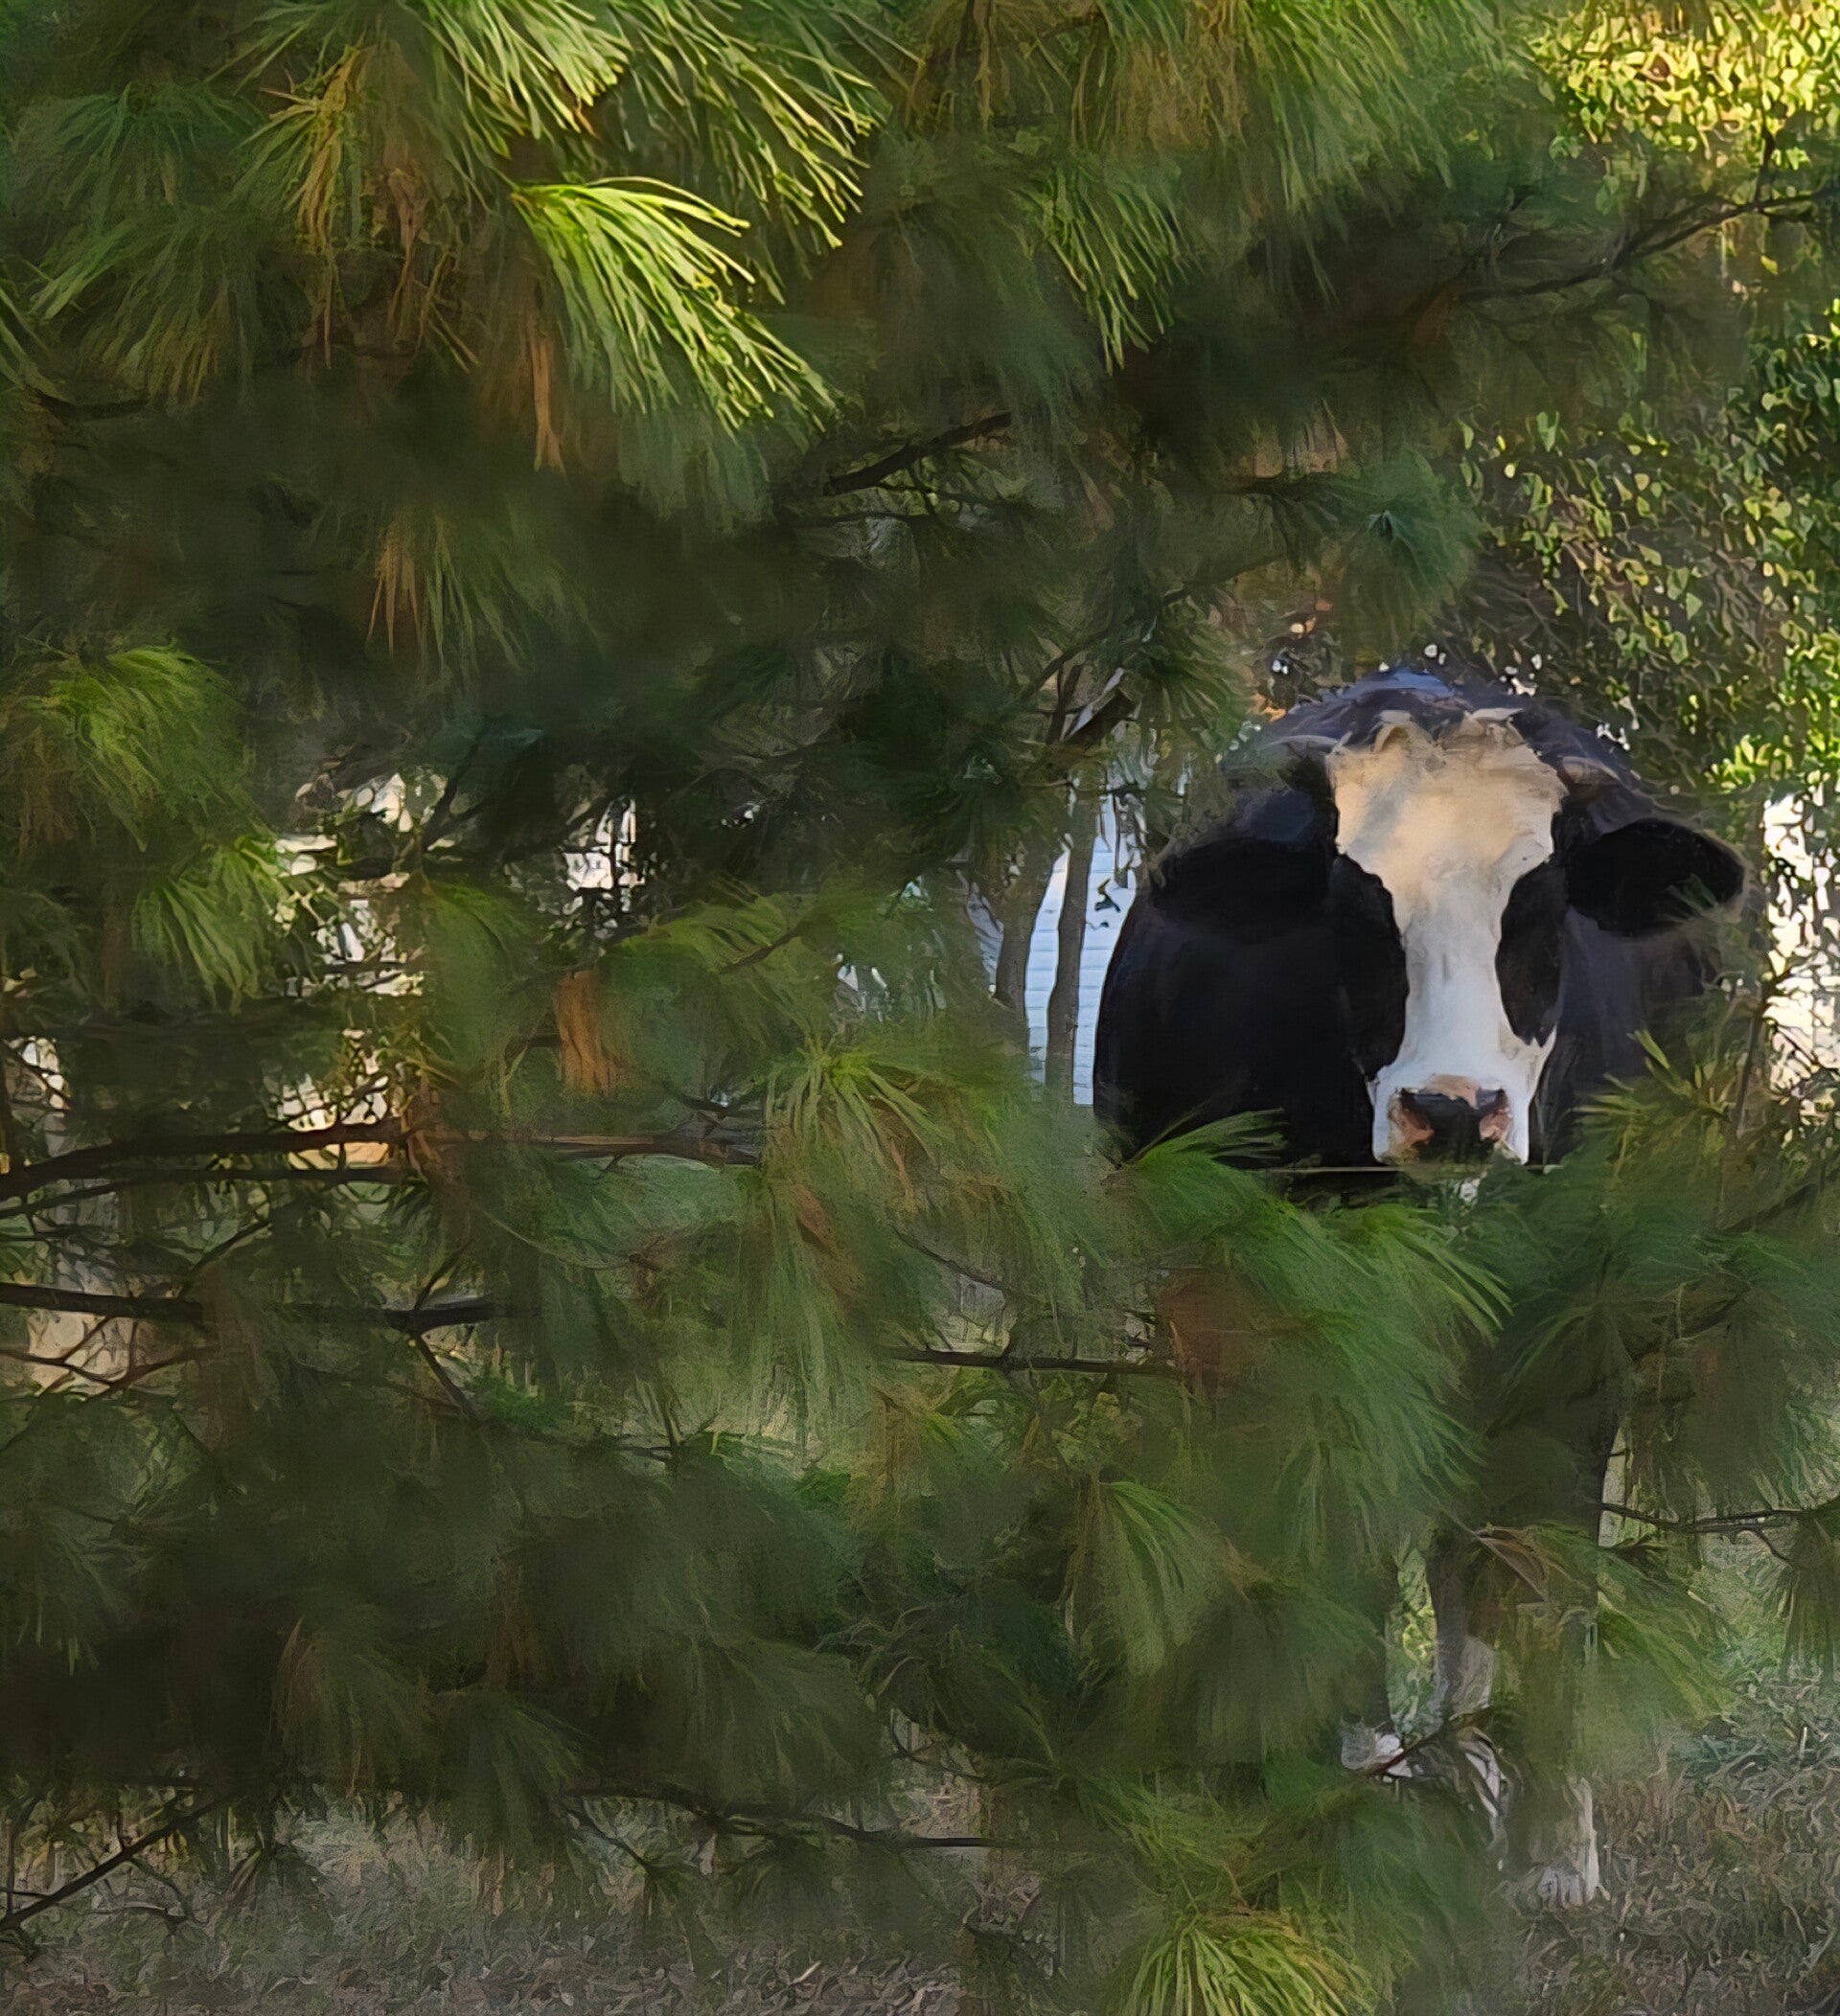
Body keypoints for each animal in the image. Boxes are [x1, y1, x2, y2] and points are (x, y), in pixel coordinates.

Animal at [1094, 666, 1746, 1904]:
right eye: (1356, 914)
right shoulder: (1283, 1317)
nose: (1451, 1110)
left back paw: (1469, 1750)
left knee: (1469, 1545)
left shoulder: (1578, 1321)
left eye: (1538, 909)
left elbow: (1546, 1563)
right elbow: (1333, 1543)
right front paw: (1337, 1768)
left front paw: (1551, 1841)